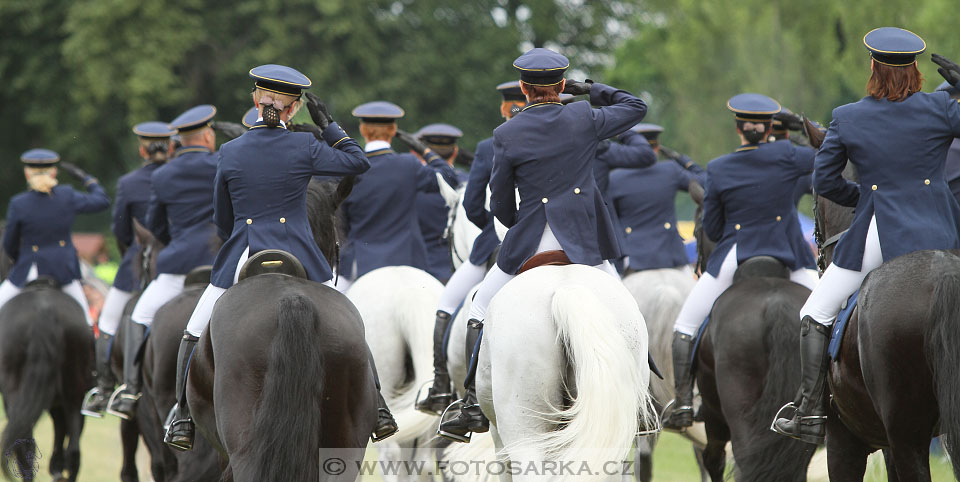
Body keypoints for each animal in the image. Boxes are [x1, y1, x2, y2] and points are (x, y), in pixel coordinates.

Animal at [0, 282, 94, 482]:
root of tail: (45, 310)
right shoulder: (60, 404)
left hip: (16, 393)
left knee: (24, 447)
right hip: (74, 393)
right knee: (74, 451)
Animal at [688, 179, 816, 480]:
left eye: (697, 230)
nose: (698, 270)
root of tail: (775, 304)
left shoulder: (712, 410)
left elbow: (713, 458)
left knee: (743, 458)